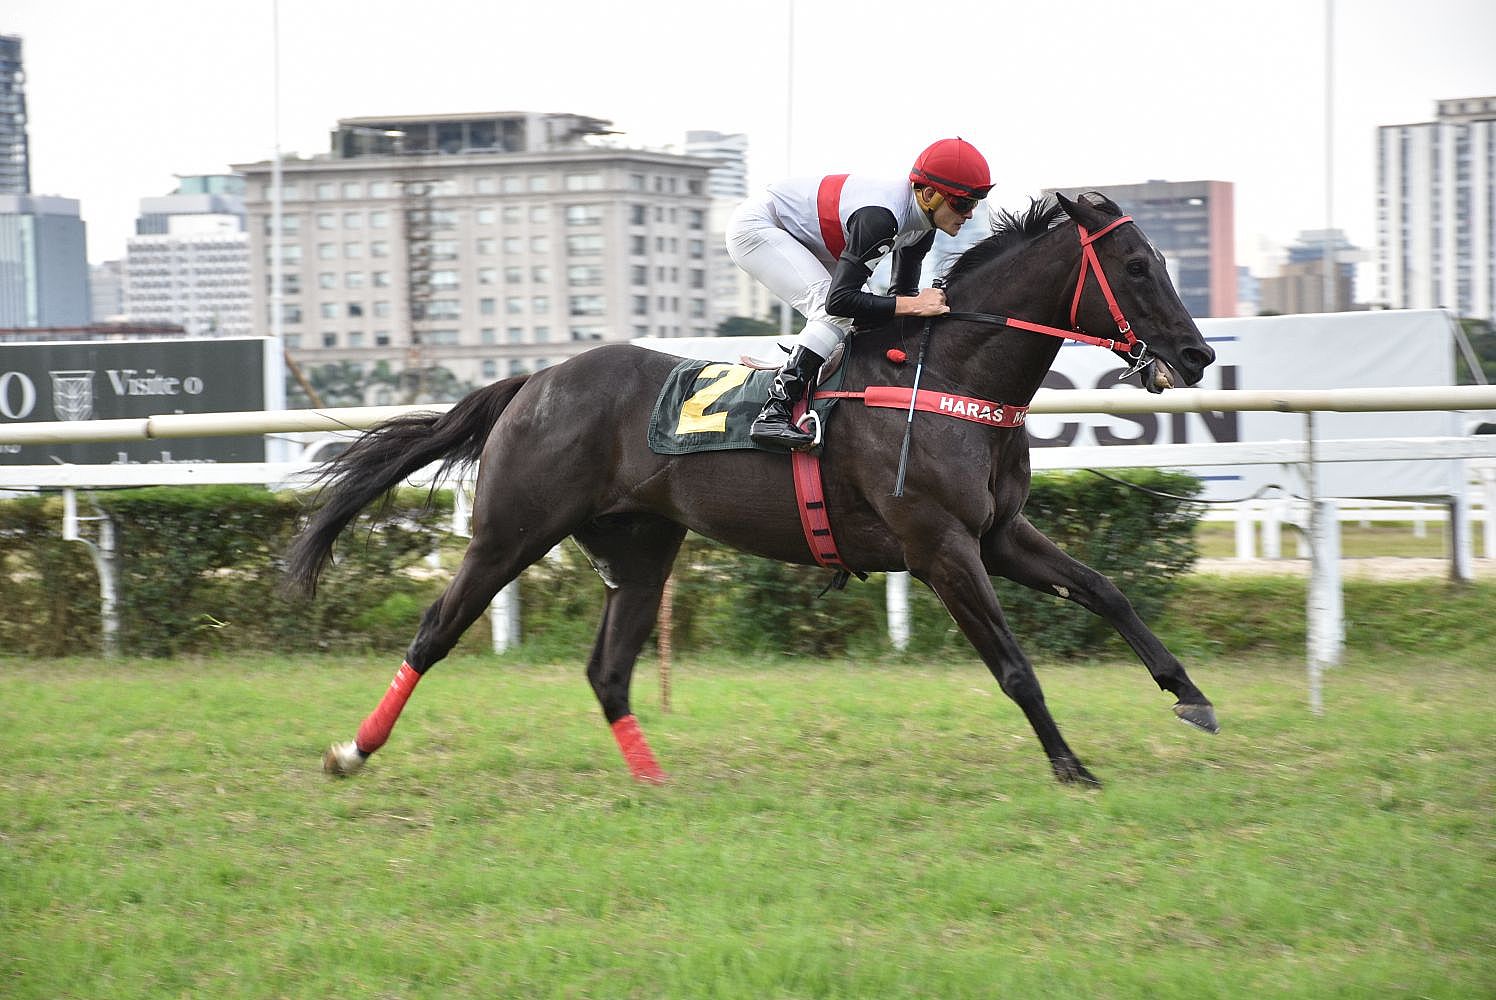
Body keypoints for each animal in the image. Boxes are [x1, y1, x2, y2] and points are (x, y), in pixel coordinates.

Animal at [288, 191, 1214, 784]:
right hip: (509, 533)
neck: (947, 374)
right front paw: (1070, 764)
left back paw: (654, 780)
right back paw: (352, 751)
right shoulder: (940, 546)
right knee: (435, 632)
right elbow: (1015, 665)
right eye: (1136, 265)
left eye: (1163, 259)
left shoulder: (997, 533)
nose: (1198, 354)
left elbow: (1105, 590)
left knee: (608, 670)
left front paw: (1193, 698)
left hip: (642, 546)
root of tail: (532, 380)